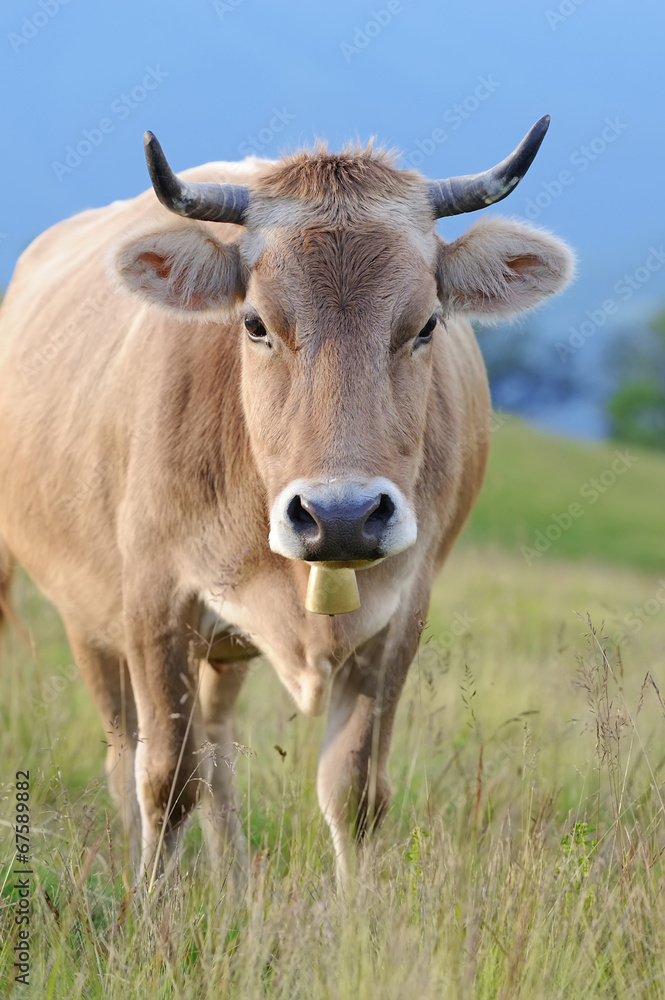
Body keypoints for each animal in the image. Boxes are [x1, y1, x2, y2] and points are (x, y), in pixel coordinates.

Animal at [0, 113, 572, 888]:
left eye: (426, 324)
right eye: (255, 323)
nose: (341, 516)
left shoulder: (400, 615)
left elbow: (353, 791)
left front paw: (358, 916)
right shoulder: (153, 603)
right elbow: (166, 779)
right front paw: (148, 909)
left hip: (220, 646)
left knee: (217, 748)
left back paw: (234, 882)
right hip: (84, 613)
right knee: (128, 755)